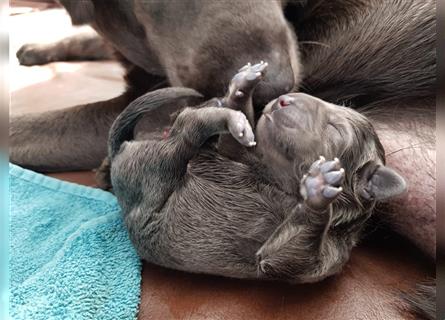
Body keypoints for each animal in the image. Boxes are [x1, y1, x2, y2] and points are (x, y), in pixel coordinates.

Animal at [107, 62, 406, 282]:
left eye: (334, 129)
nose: (285, 99)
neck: (271, 178)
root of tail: (119, 150)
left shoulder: (317, 260)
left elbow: (284, 256)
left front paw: (319, 187)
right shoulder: (237, 152)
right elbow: (231, 144)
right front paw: (241, 93)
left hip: (154, 183)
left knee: (188, 128)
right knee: (192, 124)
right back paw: (234, 96)